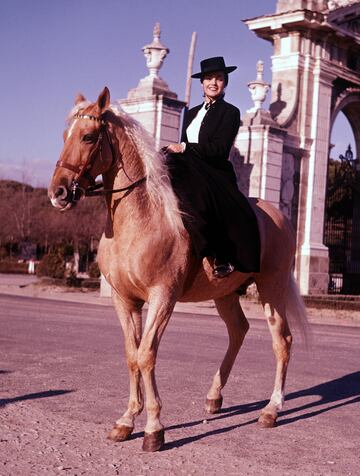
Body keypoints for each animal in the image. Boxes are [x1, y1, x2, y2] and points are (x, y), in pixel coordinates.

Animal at [47, 87, 308, 452]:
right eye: (63, 136)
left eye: (87, 136)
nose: (57, 192)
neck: (139, 217)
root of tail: (277, 213)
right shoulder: (124, 300)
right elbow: (131, 354)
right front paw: (127, 420)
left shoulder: (163, 297)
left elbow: (146, 355)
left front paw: (154, 427)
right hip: (226, 293)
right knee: (238, 330)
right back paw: (214, 397)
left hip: (272, 288)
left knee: (282, 341)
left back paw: (271, 410)